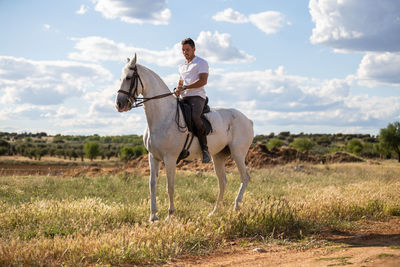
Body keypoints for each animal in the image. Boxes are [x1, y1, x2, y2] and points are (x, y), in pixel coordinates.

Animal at [115, 55, 253, 222]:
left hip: (238, 154)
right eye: (121, 78)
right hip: (218, 156)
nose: (119, 104)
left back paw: (236, 206)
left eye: (129, 77)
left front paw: (169, 215)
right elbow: (152, 184)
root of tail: (247, 119)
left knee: (245, 177)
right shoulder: (153, 157)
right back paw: (214, 212)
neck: (163, 116)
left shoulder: (170, 158)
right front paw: (153, 216)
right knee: (222, 182)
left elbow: (170, 186)